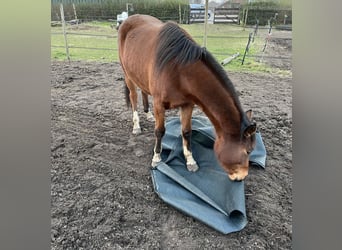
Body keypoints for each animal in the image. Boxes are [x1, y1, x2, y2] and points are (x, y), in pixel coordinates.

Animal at [117, 14, 256, 182]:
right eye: (248, 151)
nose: (241, 177)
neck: (179, 71)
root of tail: (128, 20)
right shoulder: (159, 104)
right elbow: (160, 131)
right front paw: (156, 158)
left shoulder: (188, 104)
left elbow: (186, 132)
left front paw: (190, 161)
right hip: (128, 75)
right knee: (133, 96)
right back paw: (136, 125)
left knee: (143, 91)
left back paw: (148, 115)